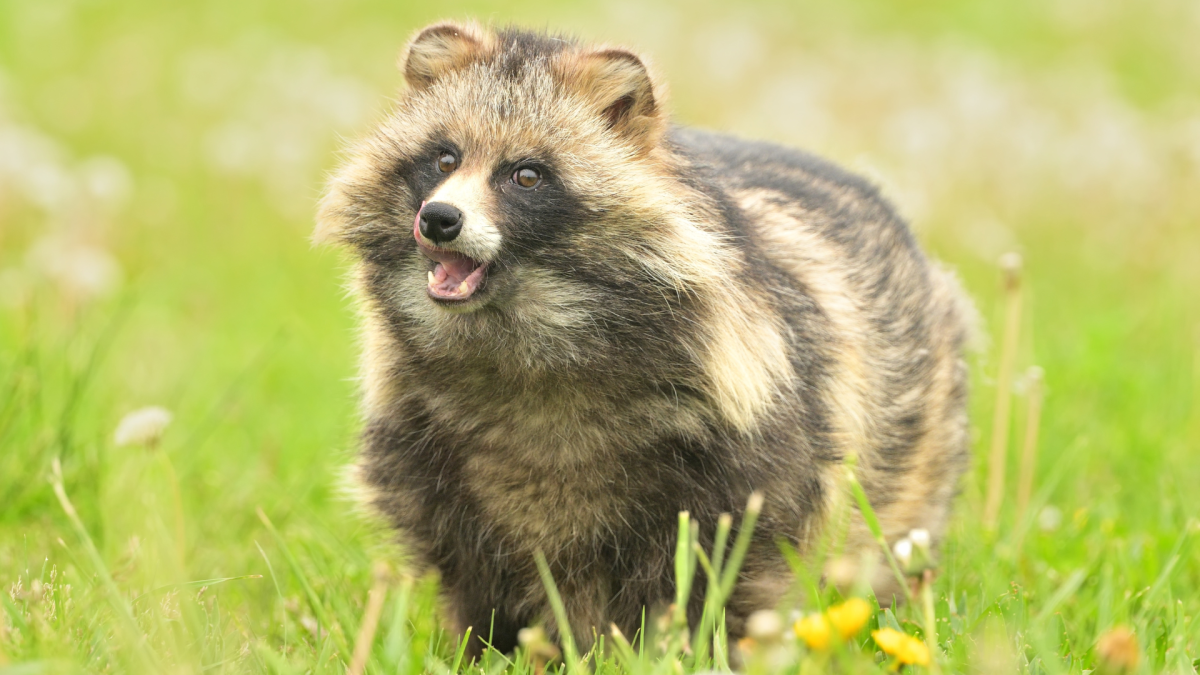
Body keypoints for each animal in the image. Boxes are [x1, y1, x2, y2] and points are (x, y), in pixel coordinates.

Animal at [317, 22, 972, 657]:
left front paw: (703, 647)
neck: (524, 346)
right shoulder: (427, 443)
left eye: (526, 174)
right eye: (443, 158)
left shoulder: (754, 434)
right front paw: (483, 649)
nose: (438, 219)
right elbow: (467, 563)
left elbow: (732, 560)